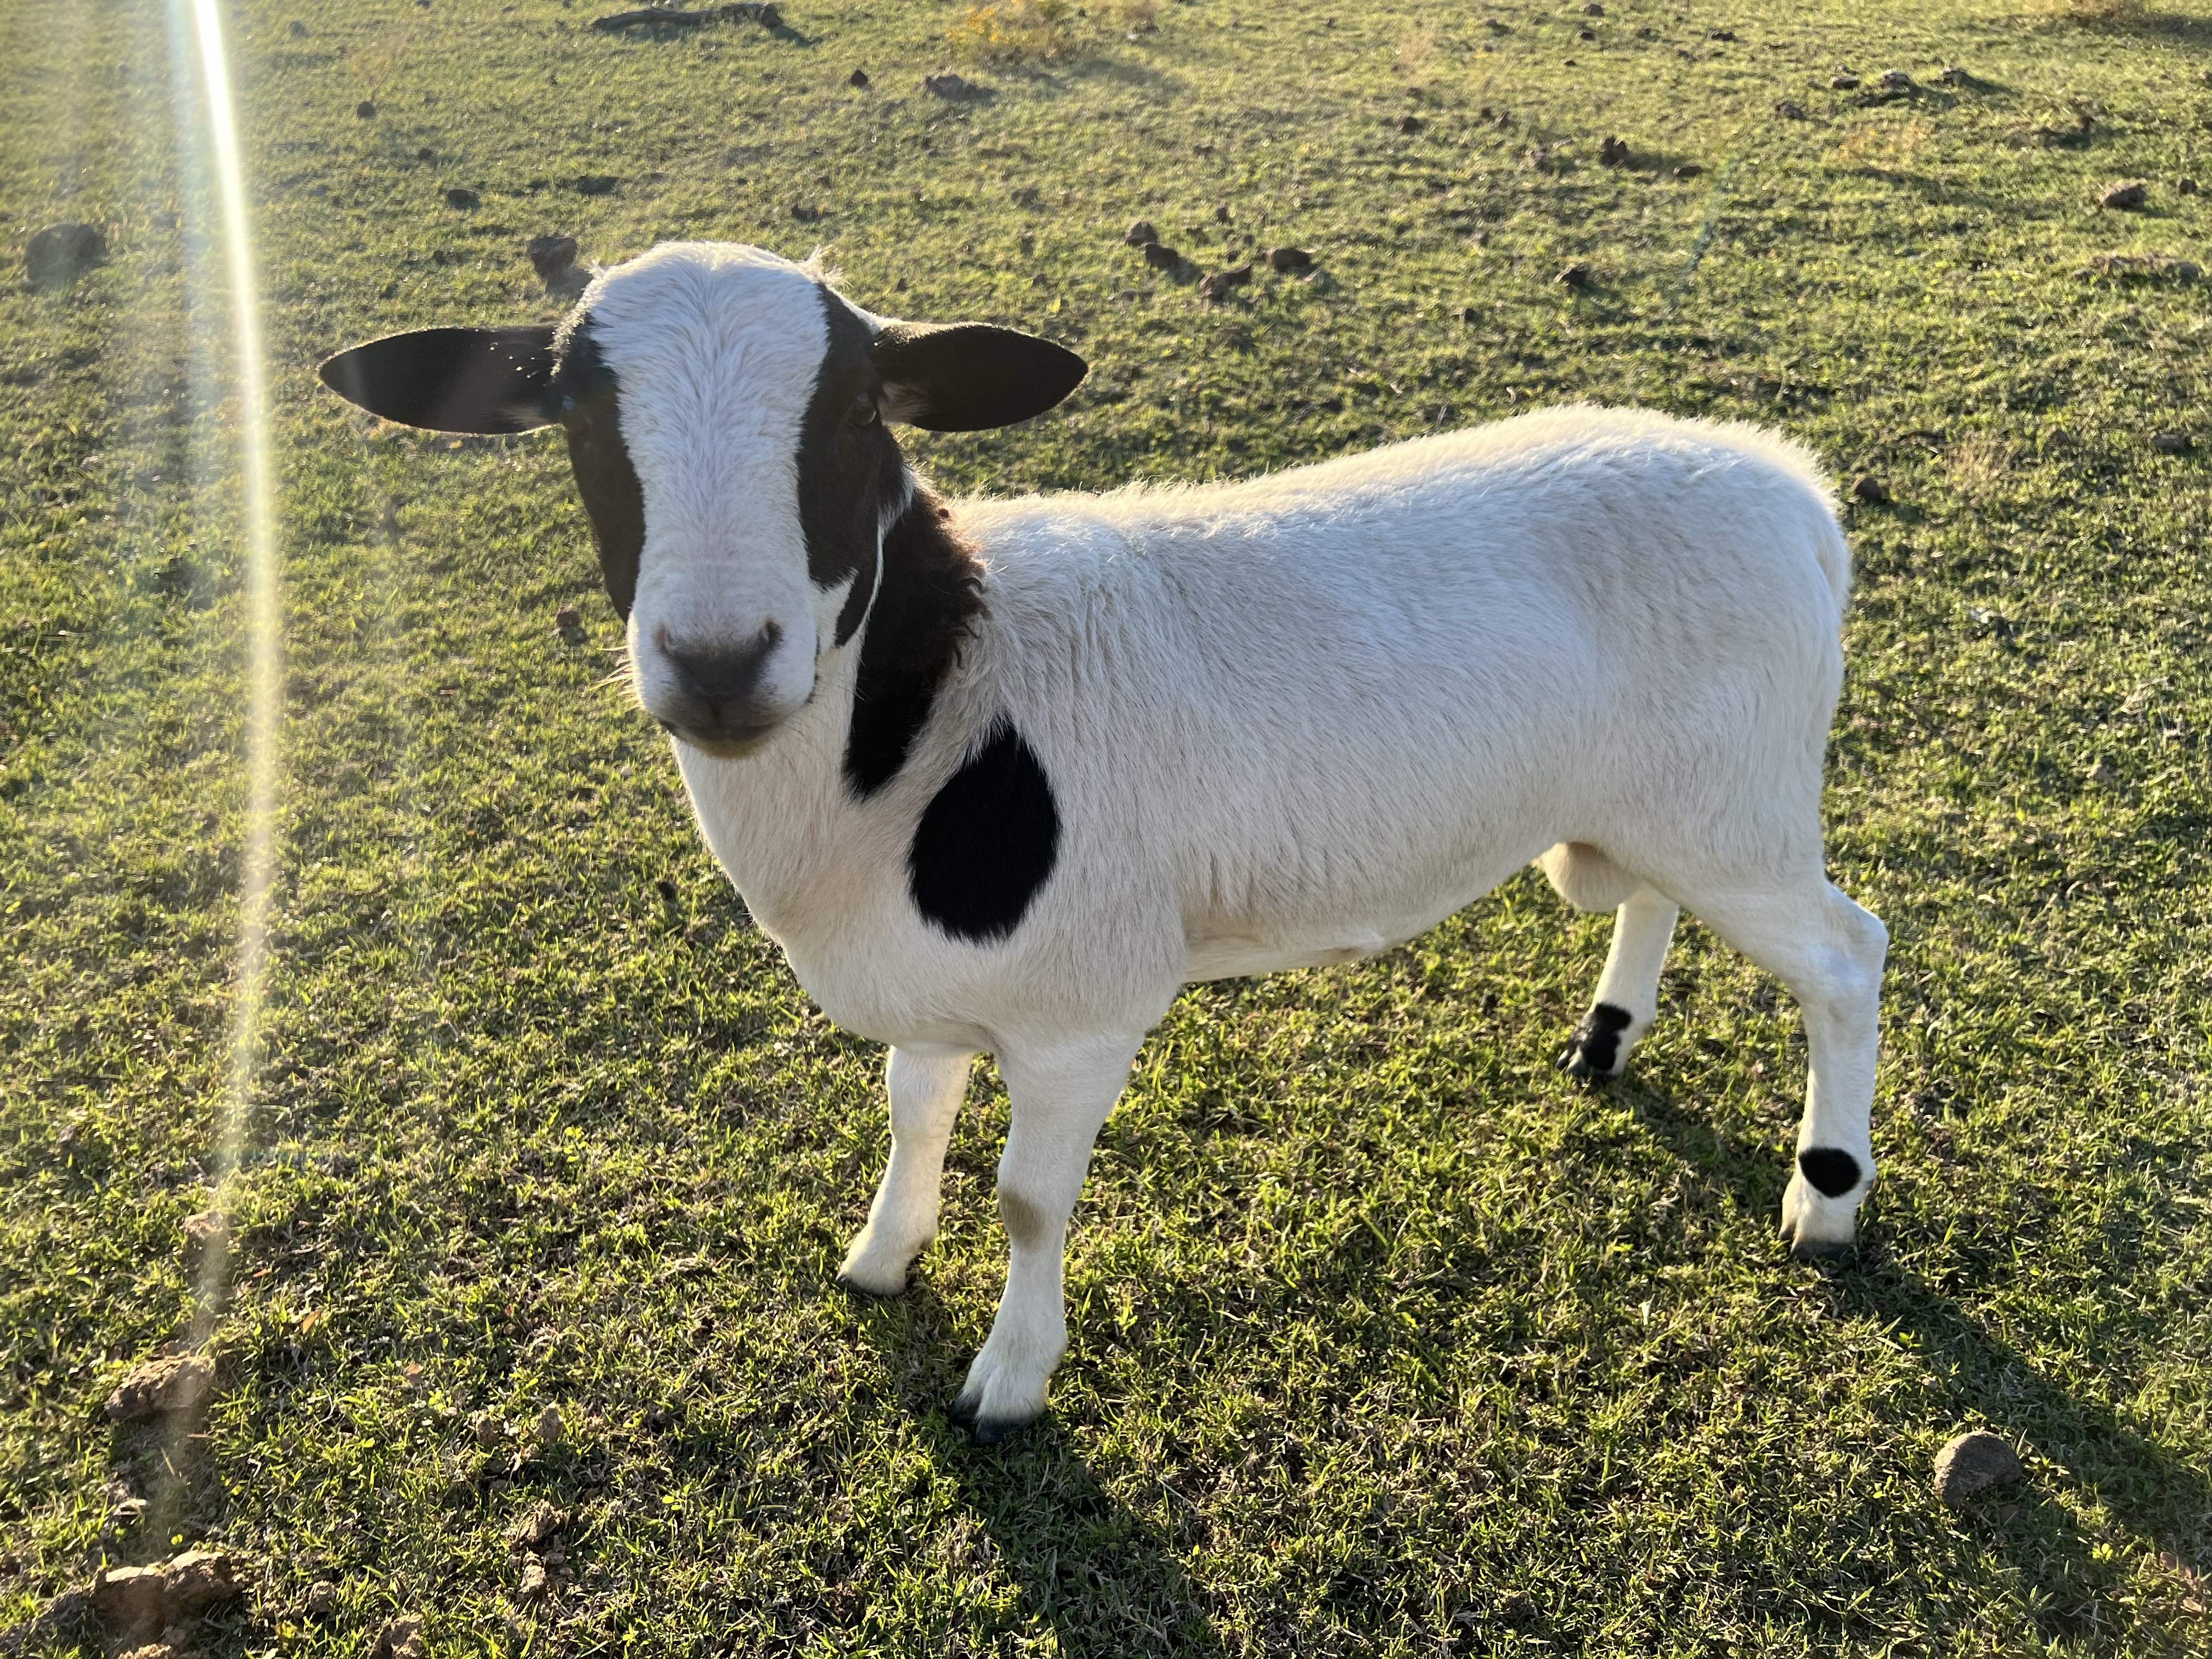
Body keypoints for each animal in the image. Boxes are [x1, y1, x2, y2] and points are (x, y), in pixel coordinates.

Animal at [319, 241, 1887, 1441]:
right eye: (578, 418)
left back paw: (1826, 1202)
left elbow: (1024, 1200)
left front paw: (1008, 1382)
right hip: (1664, 800)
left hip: (1738, 802)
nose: (717, 661)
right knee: (1656, 899)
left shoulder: (1084, 1005)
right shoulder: (935, 988)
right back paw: (1606, 1037)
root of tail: (1792, 487)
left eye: (853, 417)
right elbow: (914, 1116)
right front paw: (880, 1260)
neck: (937, 705)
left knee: (1847, 956)